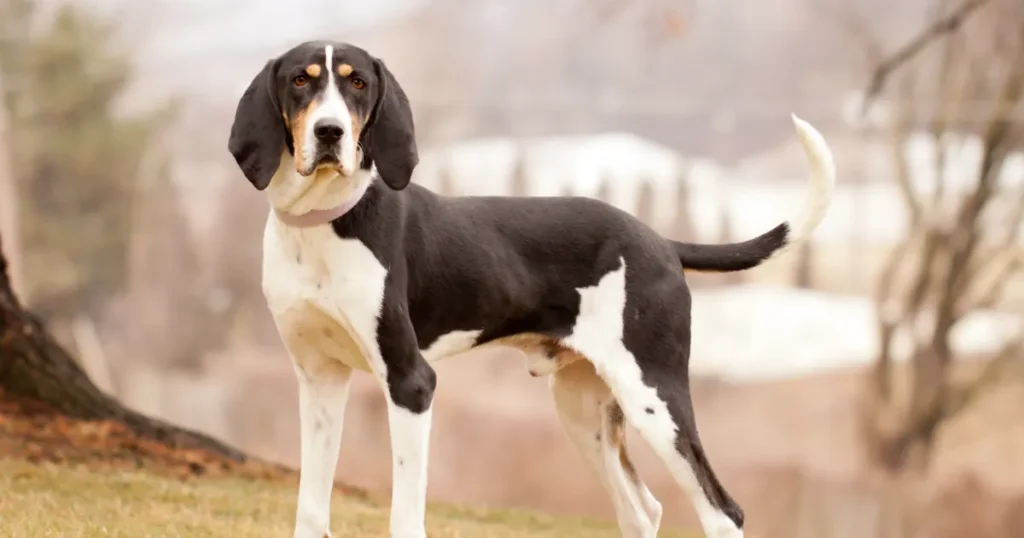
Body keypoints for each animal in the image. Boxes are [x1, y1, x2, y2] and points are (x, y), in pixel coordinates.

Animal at [226, 38, 831, 536]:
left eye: (357, 84)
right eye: (300, 81)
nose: (329, 133)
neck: (325, 222)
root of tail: (659, 240)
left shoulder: (410, 384)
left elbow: (405, 513)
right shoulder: (319, 380)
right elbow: (311, 507)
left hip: (654, 397)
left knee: (723, 511)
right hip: (584, 412)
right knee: (642, 510)